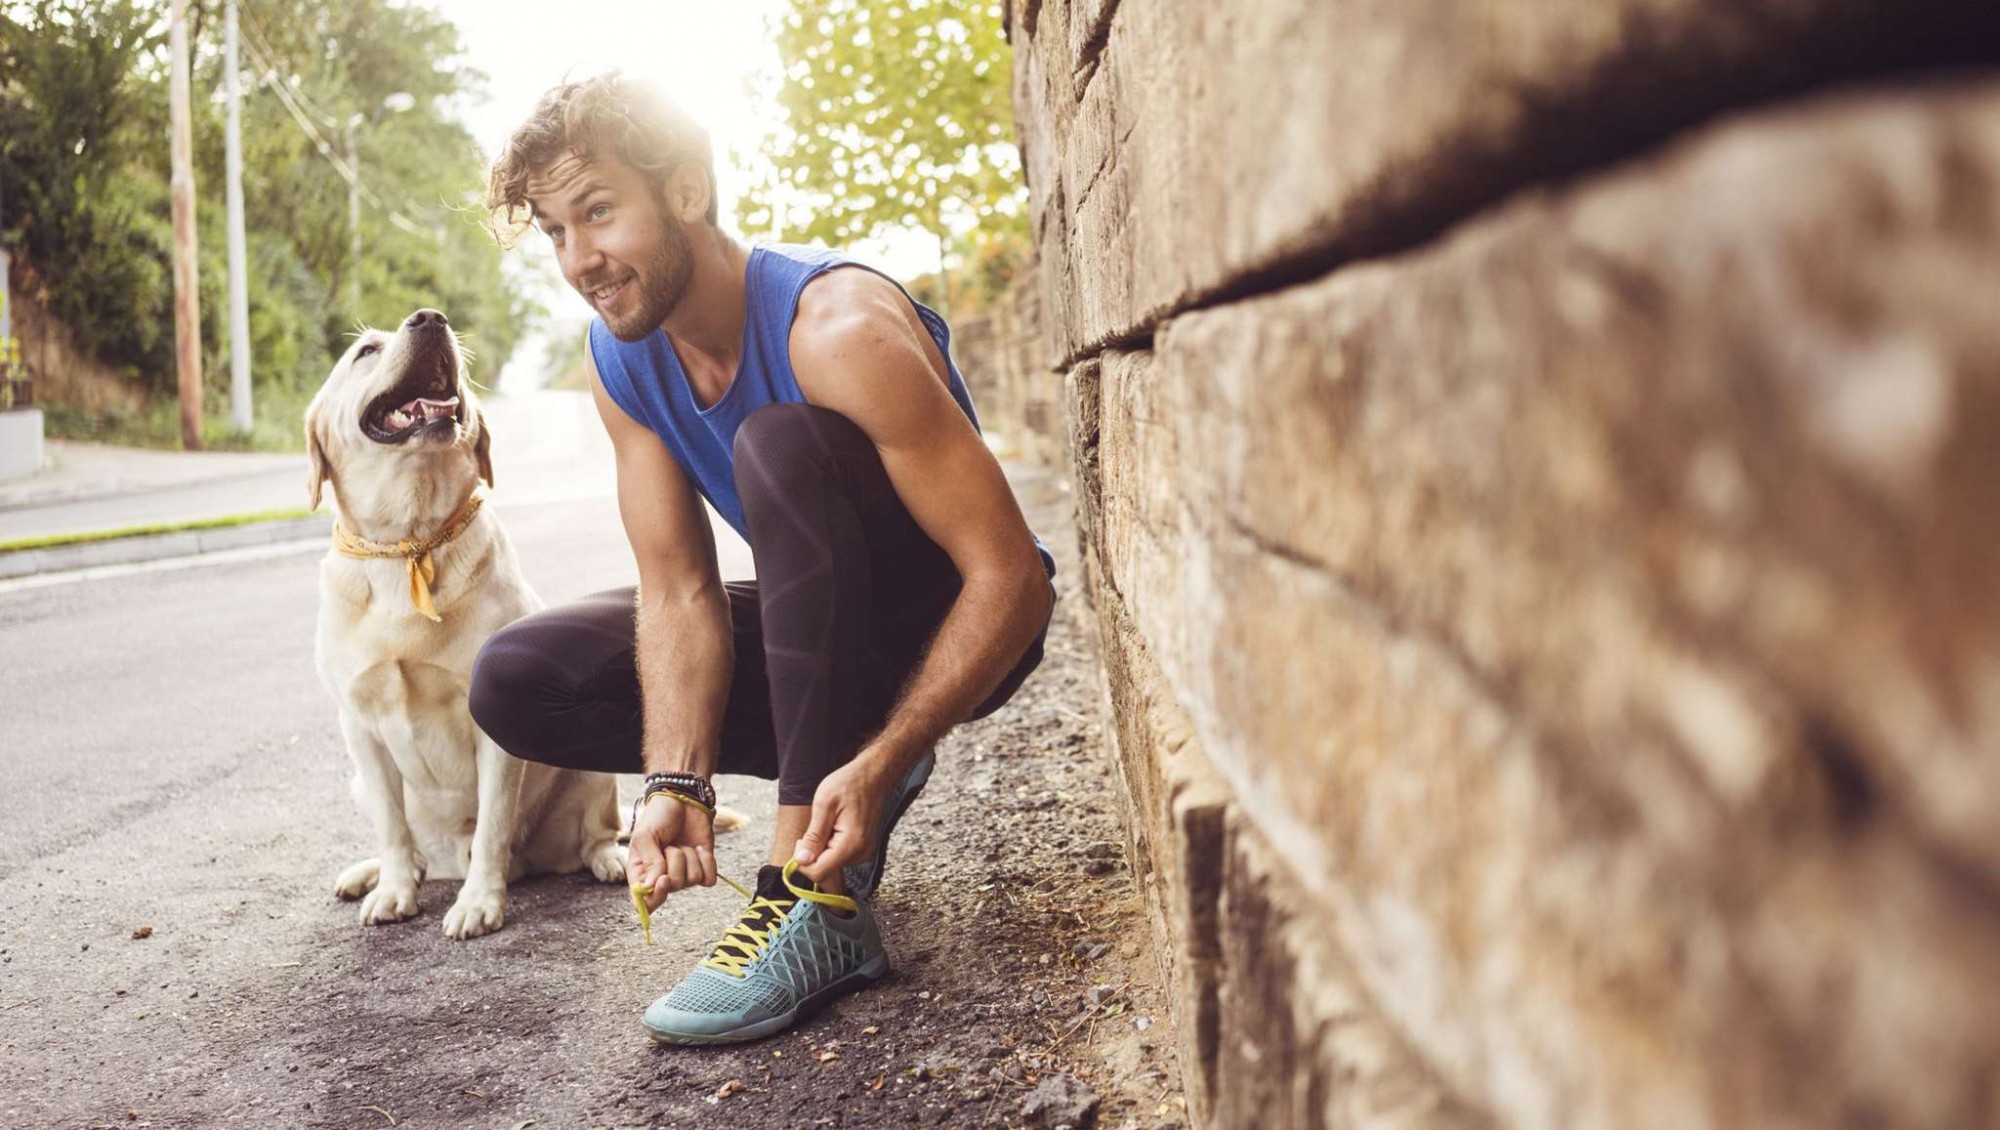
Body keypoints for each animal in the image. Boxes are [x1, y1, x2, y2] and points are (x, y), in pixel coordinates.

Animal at [304, 304, 624, 940]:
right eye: (365, 352)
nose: (430, 318)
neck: (408, 541)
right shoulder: (359, 725)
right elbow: (393, 826)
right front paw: (394, 890)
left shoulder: (491, 728)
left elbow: (494, 823)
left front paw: (479, 902)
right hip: (359, 781)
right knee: (414, 845)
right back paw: (372, 873)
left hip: (590, 769)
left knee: (595, 834)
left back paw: (610, 860)